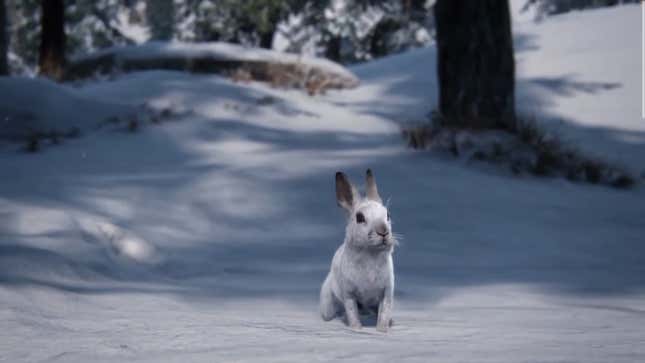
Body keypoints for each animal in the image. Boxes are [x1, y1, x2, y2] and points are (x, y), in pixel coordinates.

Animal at [320, 168, 394, 332]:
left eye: (388, 215)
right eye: (360, 218)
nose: (383, 232)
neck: (370, 254)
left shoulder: (386, 291)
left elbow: (384, 312)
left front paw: (382, 330)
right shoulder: (349, 293)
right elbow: (352, 311)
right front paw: (357, 329)